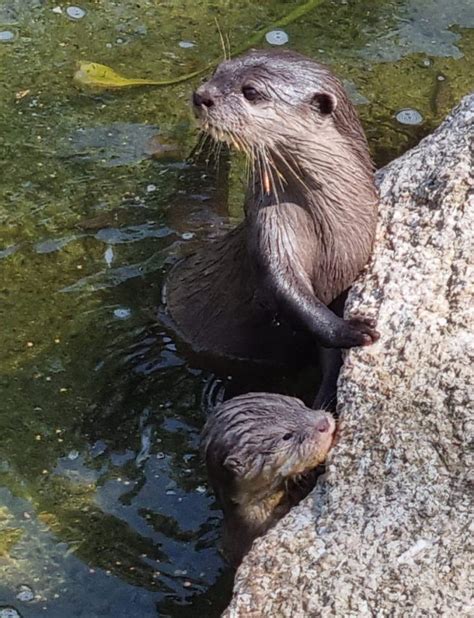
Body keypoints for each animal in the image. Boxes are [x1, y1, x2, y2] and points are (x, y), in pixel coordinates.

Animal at [165, 49, 380, 370]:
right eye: (218, 70)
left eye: (251, 92)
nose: (201, 95)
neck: (328, 224)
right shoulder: (270, 227)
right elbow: (284, 289)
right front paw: (350, 329)